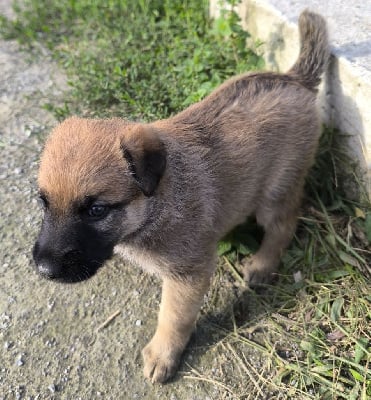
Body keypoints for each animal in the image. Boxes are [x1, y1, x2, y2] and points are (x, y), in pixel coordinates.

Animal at [32, 10, 328, 382]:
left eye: (96, 210)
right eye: (43, 202)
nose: (43, 270)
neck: (158, 202)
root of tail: (294, 79)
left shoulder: (188, 275)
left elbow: (173, 317)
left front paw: (163, 355)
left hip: (275, 192)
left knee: (284, 224)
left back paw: (262, 264)